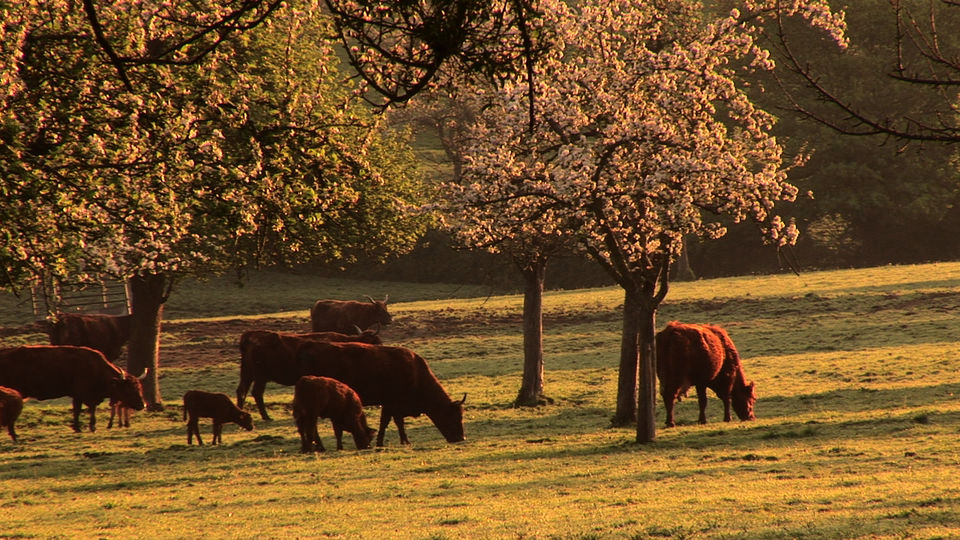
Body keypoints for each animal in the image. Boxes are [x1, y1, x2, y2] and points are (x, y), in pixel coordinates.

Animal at [0, 345, 146, 433]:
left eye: (139, 387)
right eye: (128, 389)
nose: (142, 405)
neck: (96, 367)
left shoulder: (78, 396)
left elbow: (78, 410)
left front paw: (78, 427)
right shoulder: (83, 394)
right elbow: (87, 409)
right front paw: (90, 427)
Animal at [236, 328, 383, 421]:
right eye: (377, 341)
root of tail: (250, 335)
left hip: (248, 374)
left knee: (242, 391)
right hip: (260, 376)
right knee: (256, 392)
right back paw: (266, 416)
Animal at [295, 341, 465, 447]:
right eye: (454, 416)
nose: (461, 438)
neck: (416, 373)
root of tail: (310, 344)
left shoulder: (389, 405)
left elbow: (391, 422)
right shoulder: (391, 404)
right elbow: (390, 422)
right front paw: (395, 442)